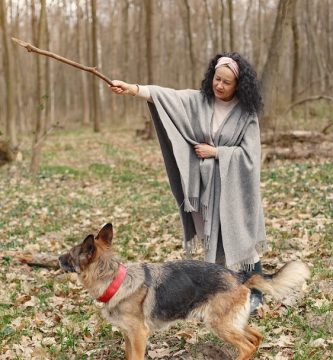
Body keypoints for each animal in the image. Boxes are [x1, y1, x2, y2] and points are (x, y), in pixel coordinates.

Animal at [58, 224, 310, 358]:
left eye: (70, 254)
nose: (58, 258)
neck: (116, 281)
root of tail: (239, 276)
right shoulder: (129, 336)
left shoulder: (138, 336)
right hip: (231, 322)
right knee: (257, 338)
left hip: (220, 325)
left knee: (247, 346)